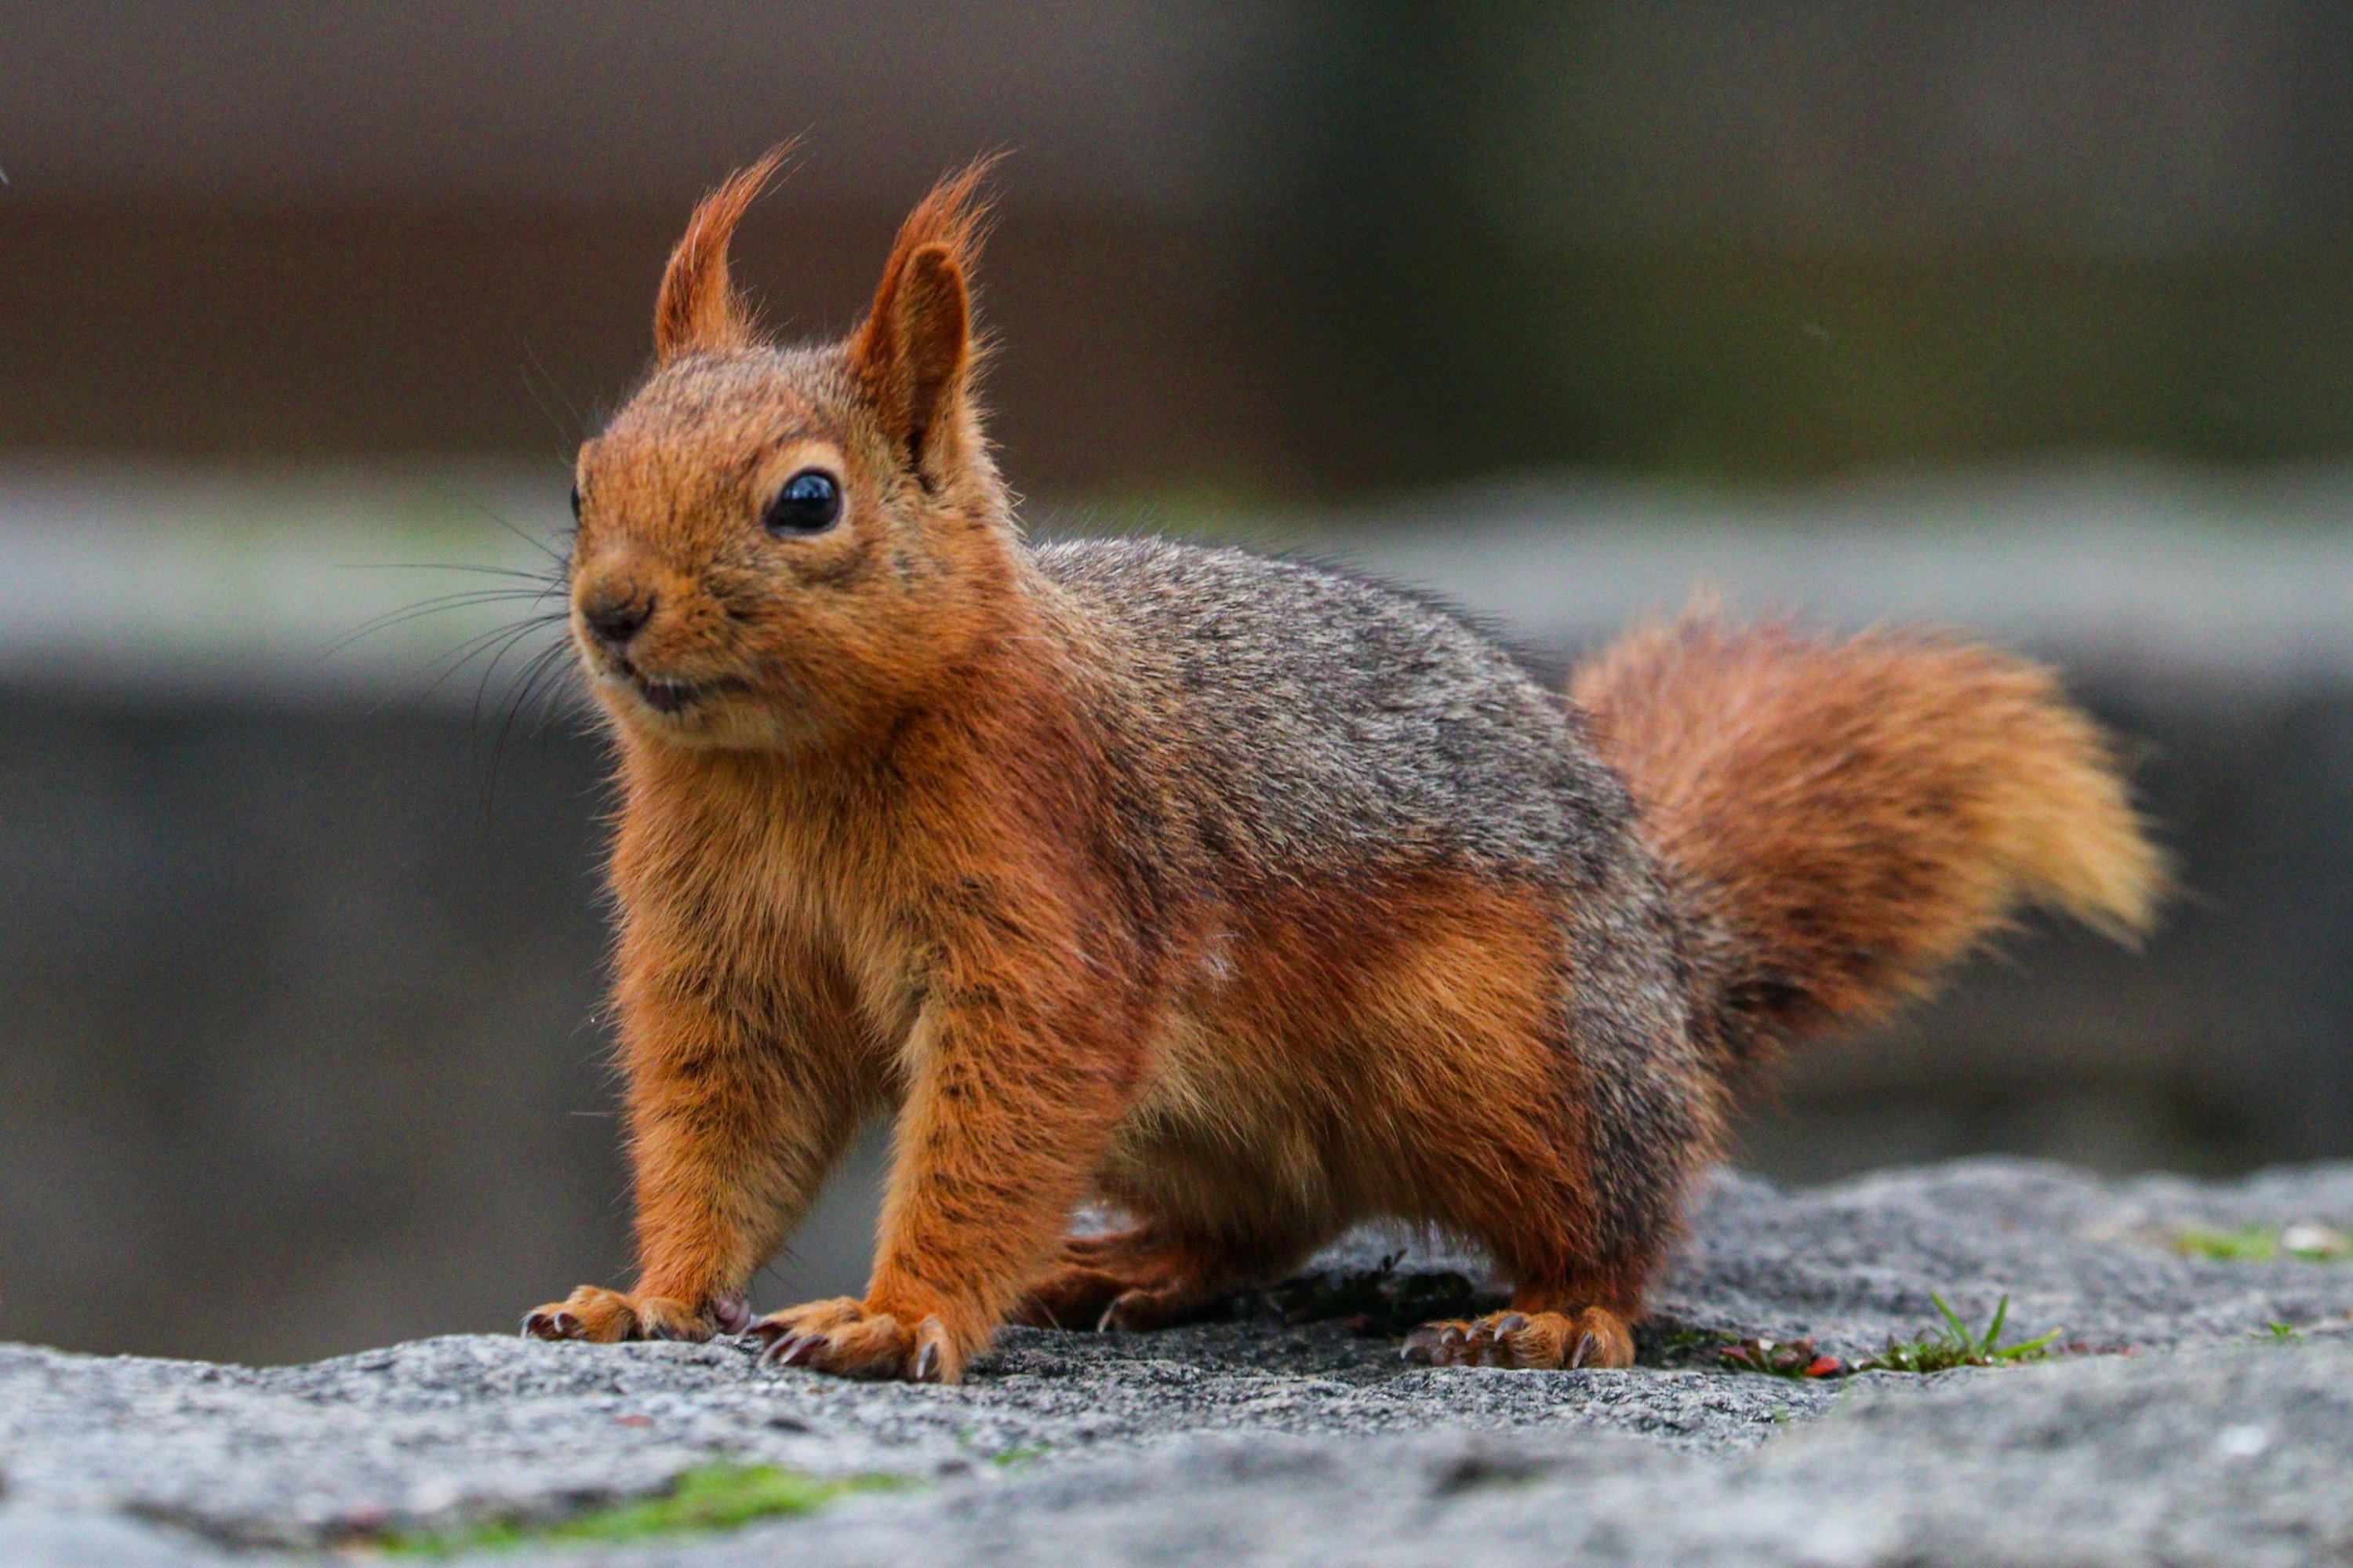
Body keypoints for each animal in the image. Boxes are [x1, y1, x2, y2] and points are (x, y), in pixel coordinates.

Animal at [522, 148, 2163, 1381]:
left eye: (807, 500)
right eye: (584, 477)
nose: (612, 609)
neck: (791, 770)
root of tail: (1673, 968)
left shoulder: (1050, 904)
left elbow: (995, 1116)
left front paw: (893, 1311)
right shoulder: (721, 956)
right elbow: (725, 1126)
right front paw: (648, 1295)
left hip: (1513, 1061)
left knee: (1625, 1218)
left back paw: (1552, 1312)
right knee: (1272, 1223)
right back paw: (1127, 1263)